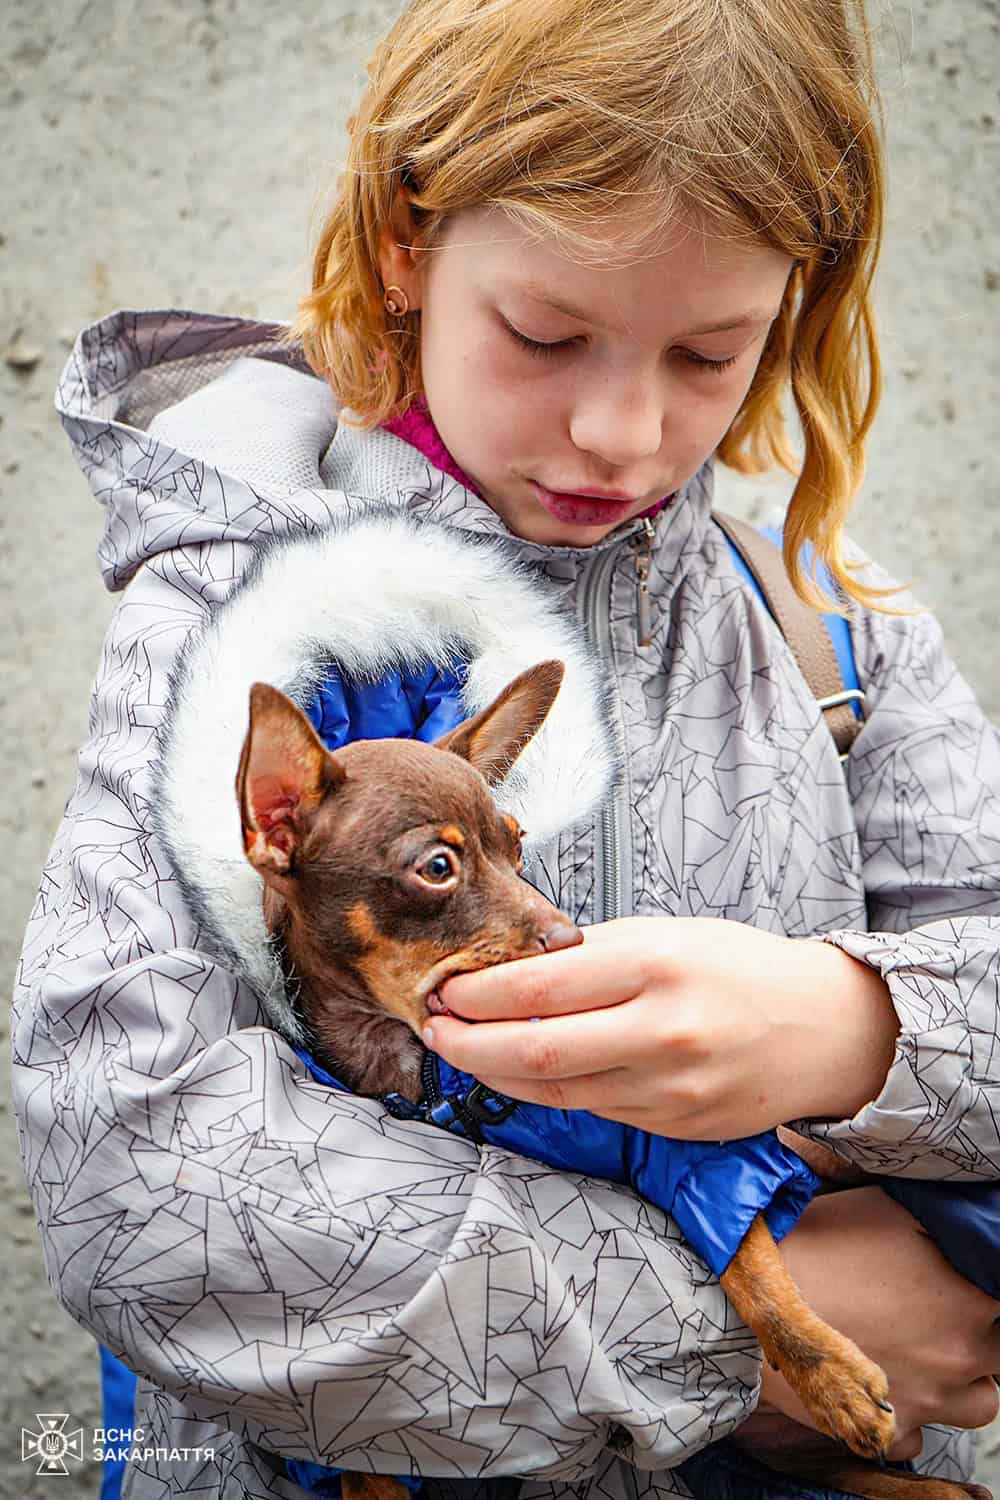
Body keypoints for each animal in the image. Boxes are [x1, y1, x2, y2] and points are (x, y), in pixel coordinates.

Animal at [238, 663, 989, 1500]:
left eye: (518, 846)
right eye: (437, 868)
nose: (571, 939)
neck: (415, 1064)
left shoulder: (686, 1143)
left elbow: (750, 1259)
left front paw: (829, 1374)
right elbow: (353, 1440)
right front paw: (367, 1484)